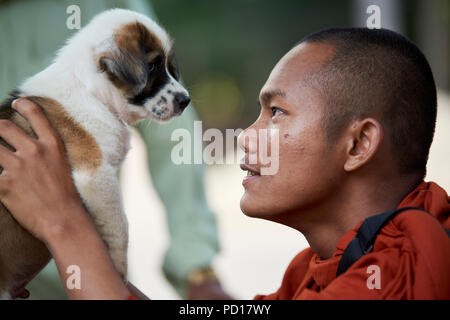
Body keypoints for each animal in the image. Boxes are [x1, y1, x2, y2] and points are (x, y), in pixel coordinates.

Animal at [0, 8, 190, 298]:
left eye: (168, 66)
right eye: (153, 66)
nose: (185, 100)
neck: (91, 91)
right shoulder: (96, 174)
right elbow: (121, 226)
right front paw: (118, 270)